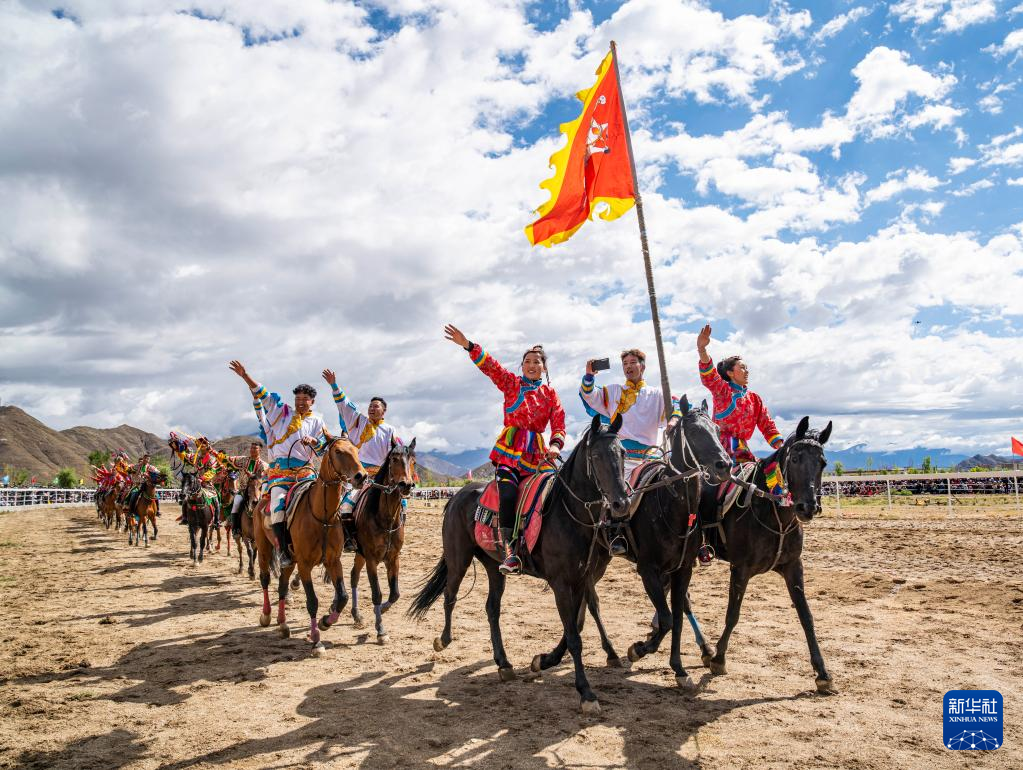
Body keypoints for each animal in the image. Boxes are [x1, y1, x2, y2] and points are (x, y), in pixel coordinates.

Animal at [252, 432, 367, 653]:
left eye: (357, 450)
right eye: (338, 451)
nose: (361, 476)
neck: (322, 516)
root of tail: (261, 500)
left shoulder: (333, 561)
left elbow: (343, 596)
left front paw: (325, 622)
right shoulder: (305, 565)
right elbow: (312, 601)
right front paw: (316, 640)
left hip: (290, 560)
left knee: (282, 586)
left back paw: (283, 624)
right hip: (264, 549)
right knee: (265, 579)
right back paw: (266, 615)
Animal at [349, 438, 416, 643]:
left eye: (413, 461)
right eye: (394, 459)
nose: (406, 485)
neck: (386, 518)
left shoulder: (393, 558)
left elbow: (395, 593)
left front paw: (383, 610)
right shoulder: (371, 560)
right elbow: (377, 593)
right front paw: (380, 629)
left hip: (360, 554)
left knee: (353, 576)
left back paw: (356, 614)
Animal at [409, 414, 630, 714]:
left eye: (623, 453)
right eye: (595, 456)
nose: (621, 503)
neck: (568, 513)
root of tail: (456, 496)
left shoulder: (583, 579)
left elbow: (579, 622)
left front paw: (544, 660)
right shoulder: (561, 584)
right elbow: (574, 635)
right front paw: (586, 692)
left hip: (494, 567)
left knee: (491, 608)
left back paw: (504, 663)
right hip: (458, 559)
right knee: (449, 596)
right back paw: (442, 641)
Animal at [530, 396, 733, 689]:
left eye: (717, 430)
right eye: (695, 432)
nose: (724, 465)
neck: (671, 504)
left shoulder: (682, 569)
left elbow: (677, 615)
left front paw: (680, 668)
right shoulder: (648, 569)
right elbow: (667, 618)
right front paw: (639, 649)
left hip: (597, 563)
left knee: (584, 606)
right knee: (590, 604)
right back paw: (603, 652)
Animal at [696, 416, 835, 692]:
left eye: (822, 462)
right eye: (795, 458)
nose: (808, 507)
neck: (773, 511)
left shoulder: (793, 566)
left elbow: (806, 617)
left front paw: (822, 672)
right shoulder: (740, 569)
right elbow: (733, 614)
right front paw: (719, 659)